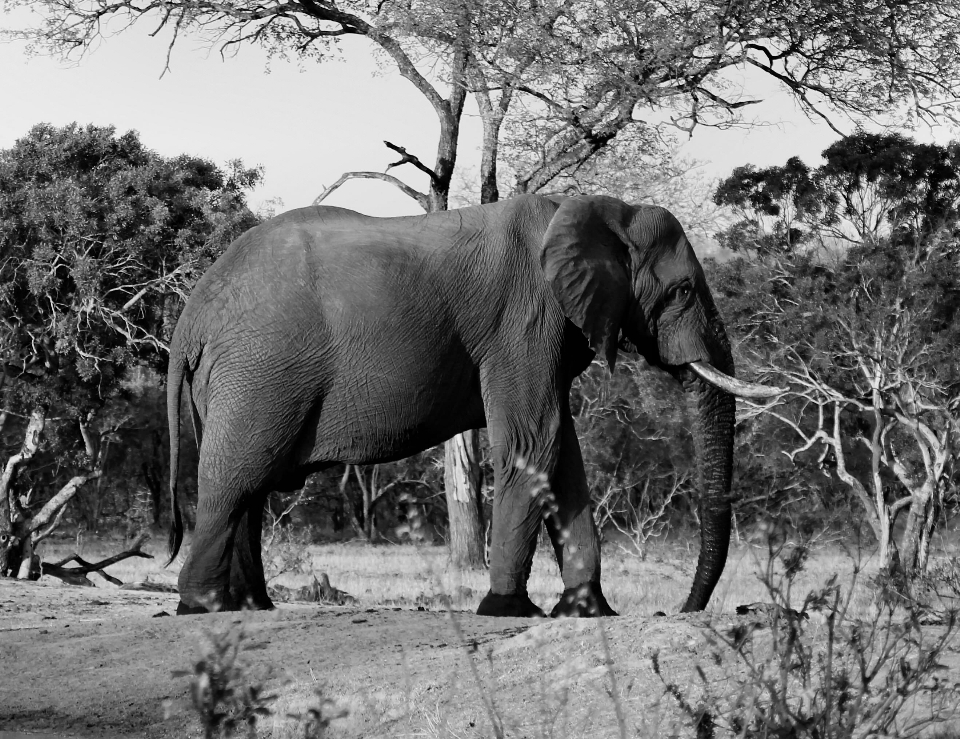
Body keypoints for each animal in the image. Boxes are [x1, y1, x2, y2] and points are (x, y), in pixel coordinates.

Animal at [167, 192, 780, 620]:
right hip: (260, 371)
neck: (600, 207)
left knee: (251, 486)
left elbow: (565, 457)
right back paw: (203, 607)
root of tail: (192, 315)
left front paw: (586, 613)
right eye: (682, 292)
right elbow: (537, 443)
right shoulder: (526, 319)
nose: (681, 610)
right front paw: (507, 610)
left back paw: (252, 607)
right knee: (235, 479)